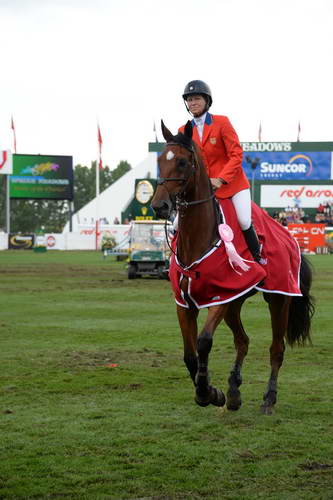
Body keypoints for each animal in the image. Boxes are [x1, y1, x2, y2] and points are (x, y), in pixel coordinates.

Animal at [150, 120, 314, 414]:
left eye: (182, 162)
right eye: (159, 160)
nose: (159, 206)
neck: (197, 239)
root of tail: (288, 234)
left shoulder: (219, 299)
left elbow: (204, 342)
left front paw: (207, 393)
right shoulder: (186, 303)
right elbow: (189, 355)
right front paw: (214, 392)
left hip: (278, 299)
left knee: (276, 349)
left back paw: (269, 399)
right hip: (235, 303)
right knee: (243, 341)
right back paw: (234, 392)